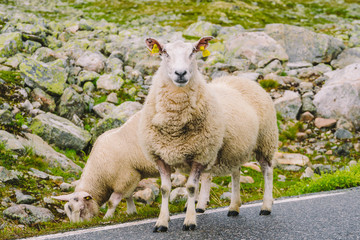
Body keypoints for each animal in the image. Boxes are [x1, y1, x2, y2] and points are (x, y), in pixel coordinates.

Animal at [139, 36, 278, 232]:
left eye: (193, 51)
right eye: (165, 52)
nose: (180, 73)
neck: (174, 125)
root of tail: (242, 79)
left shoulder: (200, 154)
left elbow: (190, 187)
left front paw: (189, 221)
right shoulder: (160, 156)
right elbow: (165, 189)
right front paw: (162, 223)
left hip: (265, 141)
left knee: (267, 171)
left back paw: (266, 206)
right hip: (234, 147)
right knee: (236, 173)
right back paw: (233, 207)